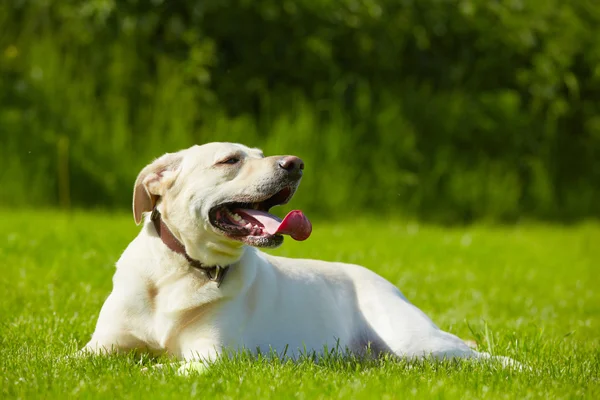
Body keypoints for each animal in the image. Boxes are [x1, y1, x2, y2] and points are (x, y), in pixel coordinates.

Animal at [82, 141, 516, 372]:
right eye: (230, 160)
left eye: (258, 152)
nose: (295, 163)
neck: (184, 269)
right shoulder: (98, 347)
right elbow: (73, 360)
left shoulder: (210, 356)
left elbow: (159, 368)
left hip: (417, 342)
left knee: (483, 356)